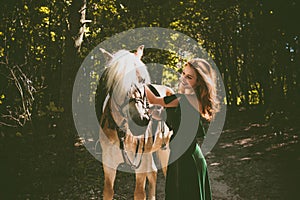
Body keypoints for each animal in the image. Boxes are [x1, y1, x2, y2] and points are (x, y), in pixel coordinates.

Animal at [95, 45, 175, 200]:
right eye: (117, 81)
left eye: (142, 80)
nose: (140, 119)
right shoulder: (108, 163)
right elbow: (108, 191)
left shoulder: (141, 164)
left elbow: (139, 193)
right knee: (153, 172)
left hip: (166, 150)